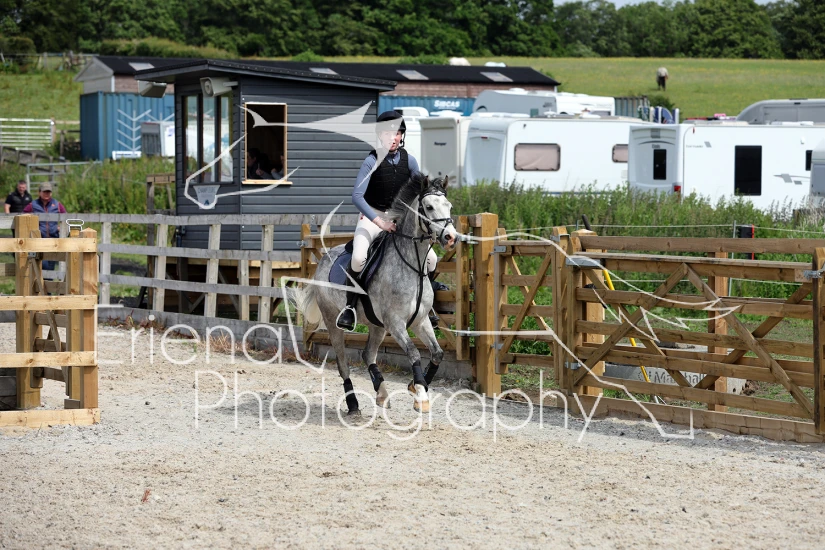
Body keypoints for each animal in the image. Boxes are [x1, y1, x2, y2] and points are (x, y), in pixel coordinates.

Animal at [297, 173, 457, 415]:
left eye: (449, 206)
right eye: (428, 207)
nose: (450, 237)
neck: (412, 265)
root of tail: (324, 259)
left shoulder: (420, 321)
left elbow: (437, 353)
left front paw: (416, 386)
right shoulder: (395, 323)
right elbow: (413, 353)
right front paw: (420, 395)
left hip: (377, 325)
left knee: (368, 354)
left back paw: (381, 393)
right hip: (334, 322)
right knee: (343, 364)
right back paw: (353, 404)